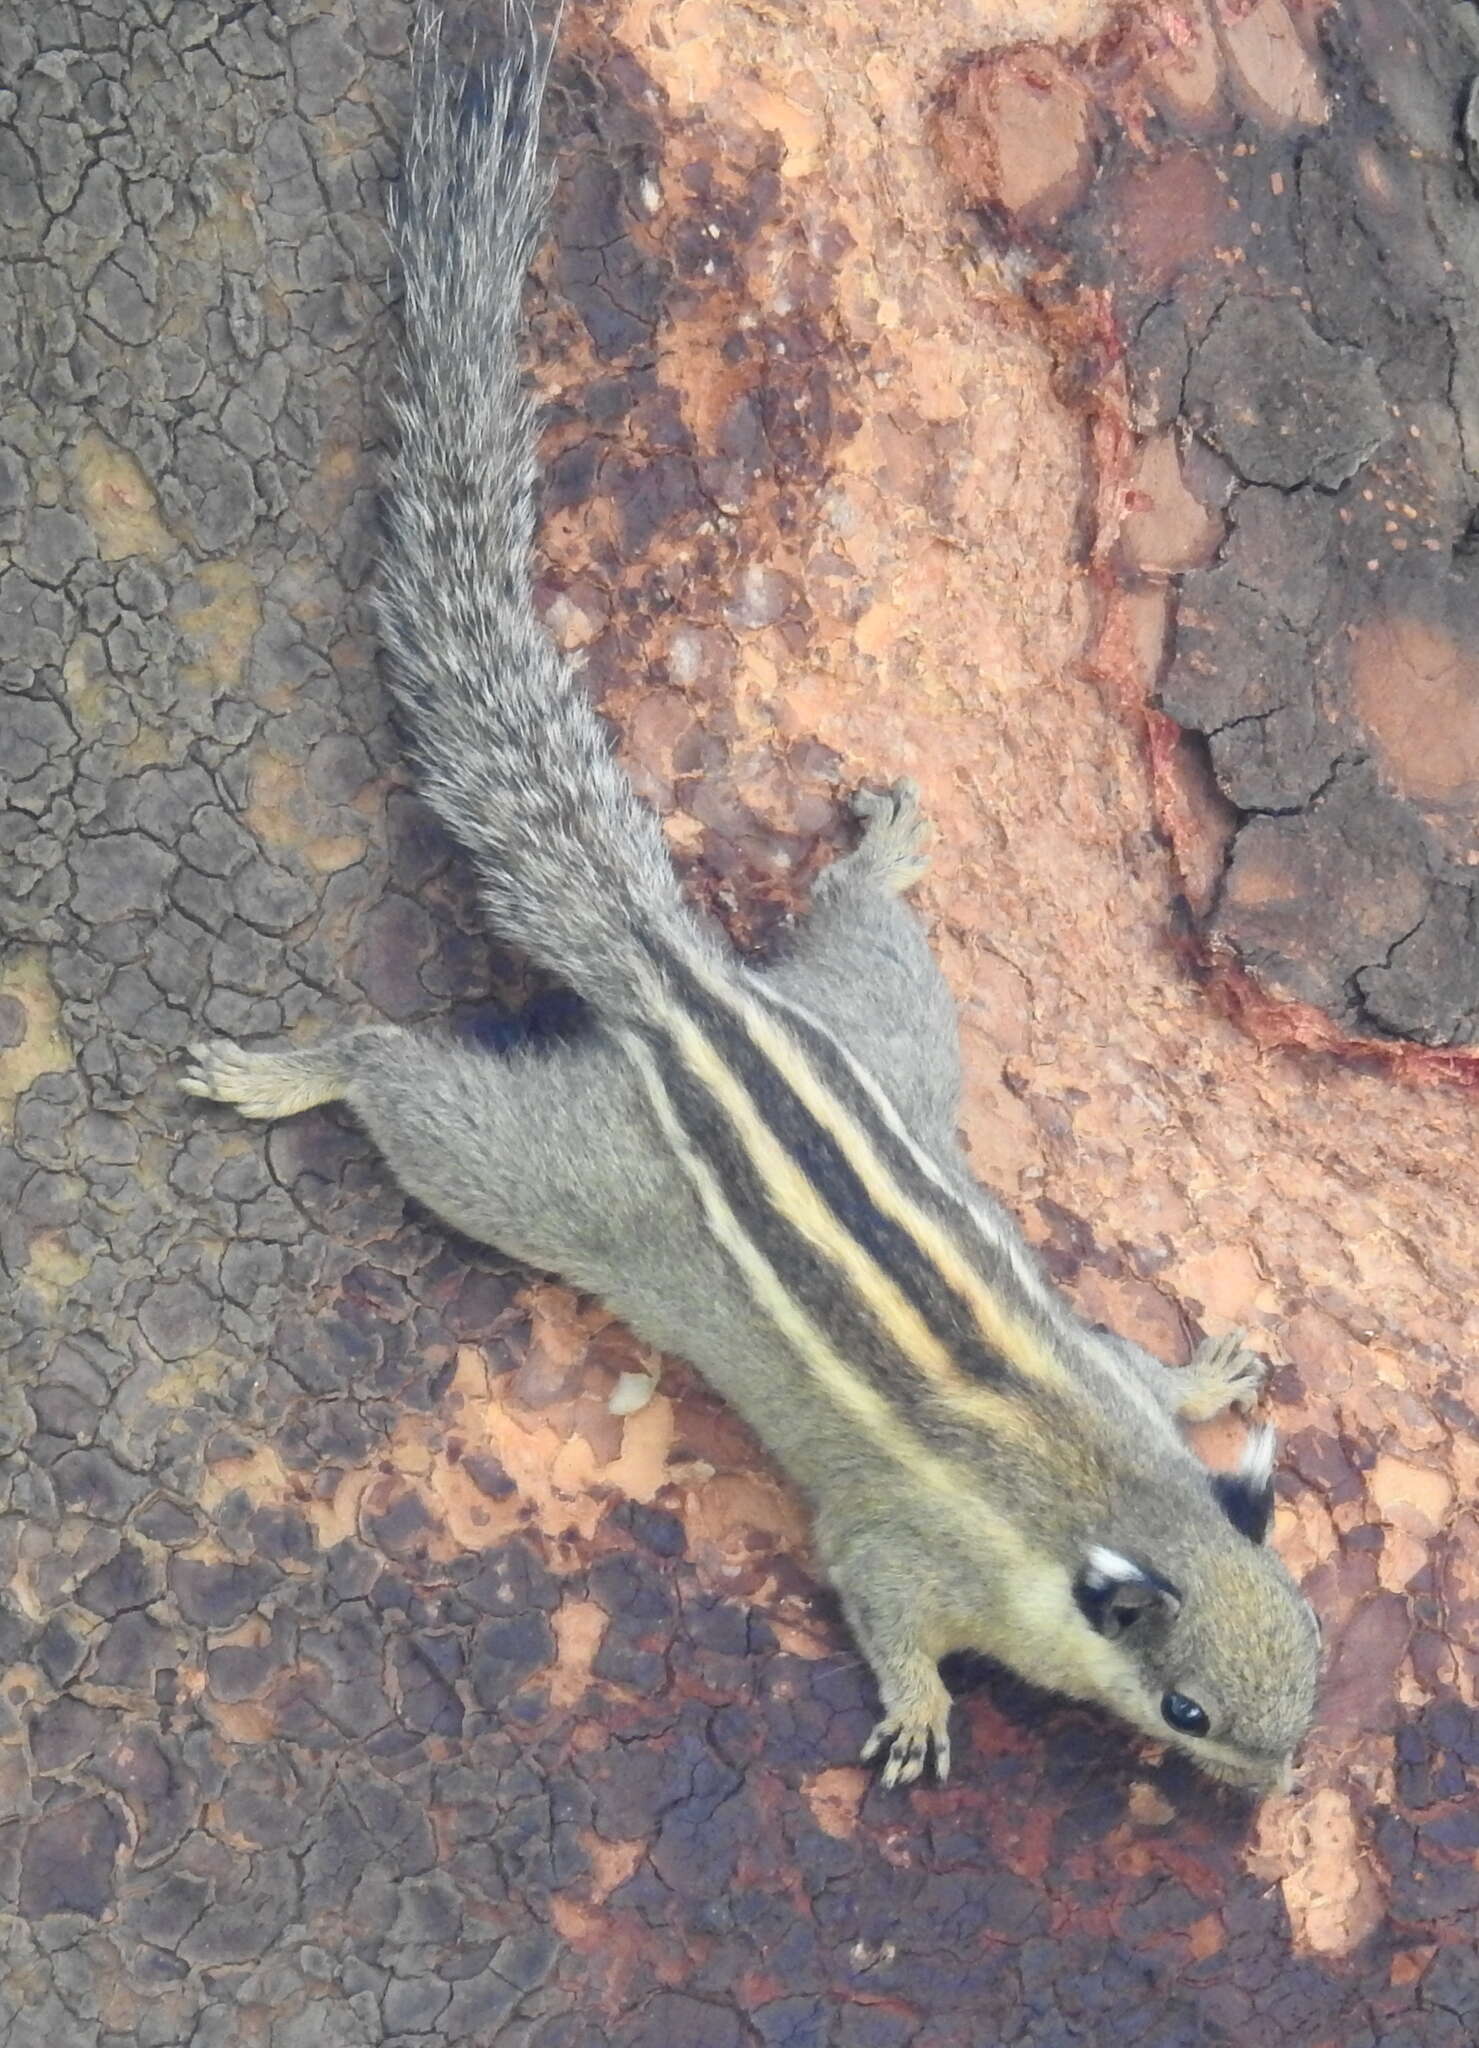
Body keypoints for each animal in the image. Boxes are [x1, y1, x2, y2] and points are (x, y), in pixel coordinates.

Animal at [178, 8, 1319, 1794]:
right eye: (1185, 1710)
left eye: (1313, 1665)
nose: (1267, 1793)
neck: (1099, 1505)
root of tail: (687, 990)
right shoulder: (904, 1550)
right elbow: (886, 1603)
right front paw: (919, 1714)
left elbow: (1141, 1364)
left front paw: (1202, 1361)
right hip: (559, 1176)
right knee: (405, 1089)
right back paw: (292, 1072)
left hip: (885, 1019)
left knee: (857, 936)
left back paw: (883, 858)